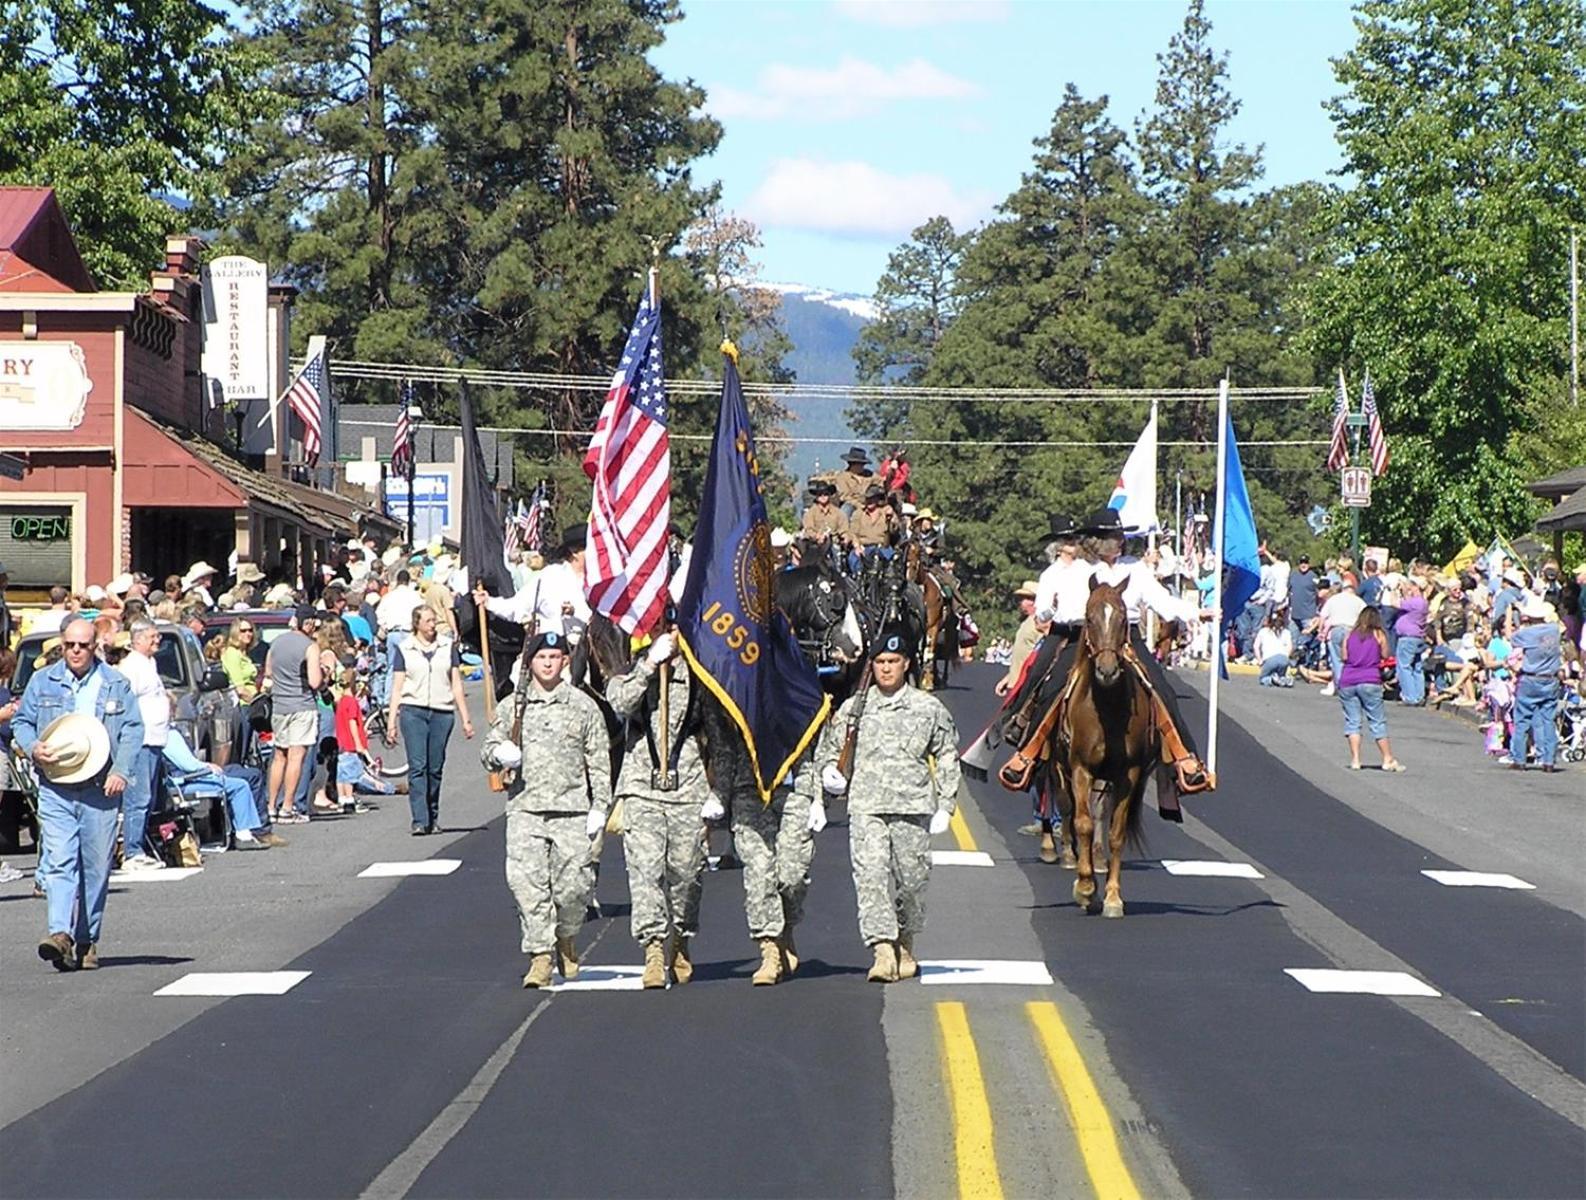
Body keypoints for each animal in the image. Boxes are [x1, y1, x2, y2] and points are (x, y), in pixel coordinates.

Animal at [1053, 580, 1154, 919]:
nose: (1107, 671)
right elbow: (1082, 822)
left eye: (1123, 618)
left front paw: (1112, 896)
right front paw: (1085, 887)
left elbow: (1116, 833)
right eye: (1089, 617)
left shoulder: (1128, 775)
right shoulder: (1080, 769)